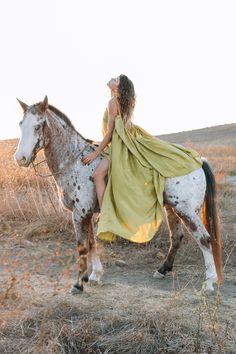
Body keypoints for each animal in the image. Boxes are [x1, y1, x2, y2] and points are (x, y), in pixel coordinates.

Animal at [15, 96, 223, 294]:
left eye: (38, 125)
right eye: (20, 124)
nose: (20, 158)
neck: (75, 161)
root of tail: (198, 160)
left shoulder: (80, 213)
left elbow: (82, 246)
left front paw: (78, 284)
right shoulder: (86, 213)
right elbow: (91, 242)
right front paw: (94, 276)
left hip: (187, 211)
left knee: (204, 239)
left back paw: (208, 284)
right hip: (171, 208)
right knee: (177, 236)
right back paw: (163, 270)